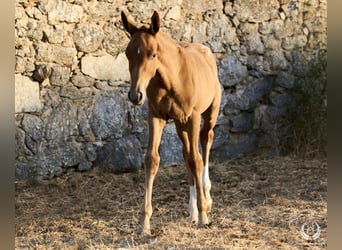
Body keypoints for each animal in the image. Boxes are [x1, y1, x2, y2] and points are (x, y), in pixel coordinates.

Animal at [121, 10, 222, 235]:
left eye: (153, 54)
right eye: (128, 53)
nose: (135, 95)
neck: (171, 79)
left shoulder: (193, 117)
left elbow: (197, 159)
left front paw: (204, 214)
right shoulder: (156, 116)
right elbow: (152, 159)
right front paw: (145, 224)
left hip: (209, 113)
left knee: (206, 141)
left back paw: (207, 197)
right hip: (179, 124)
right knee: (186, 154)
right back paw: (192, 213)